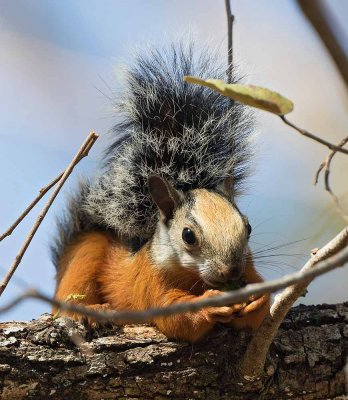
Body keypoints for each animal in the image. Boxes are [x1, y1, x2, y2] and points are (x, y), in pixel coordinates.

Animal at [51, 44, 270, 344]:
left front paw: (258, 298)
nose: (231, 271)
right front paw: (208, 307)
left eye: (248, 228)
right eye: (188, 236)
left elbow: (257, 316)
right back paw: (86, 311)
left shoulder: (249, 267)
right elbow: (175, 317)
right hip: (85, 255)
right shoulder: (151, 282)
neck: (194, 278)